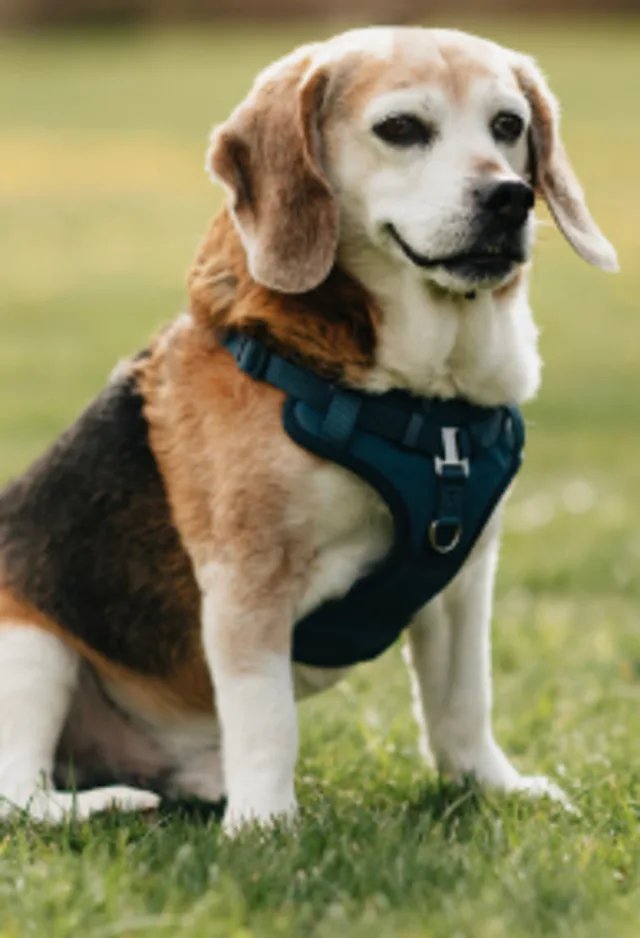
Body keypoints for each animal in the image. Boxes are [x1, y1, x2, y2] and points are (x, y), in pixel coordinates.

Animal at [0, 25, 616, 828]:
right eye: (400, 129)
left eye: (508, 125)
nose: (509, 198)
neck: (429, 401)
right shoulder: (248, 576)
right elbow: (267, 718)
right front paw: (265, 826)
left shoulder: (464, 579)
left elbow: (461, 704)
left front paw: (493, 788)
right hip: (31, 647)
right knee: (19, 795)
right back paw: (116, 802)